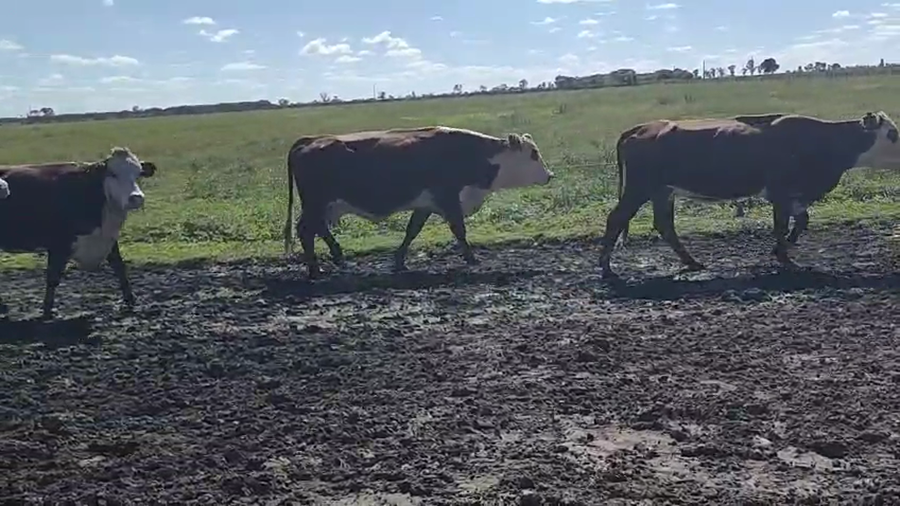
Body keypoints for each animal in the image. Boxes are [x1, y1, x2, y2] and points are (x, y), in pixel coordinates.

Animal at [0, 147, 157, 319]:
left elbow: (119, 268)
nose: (137, 198)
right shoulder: (59, 243)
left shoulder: (107, 238)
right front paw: (47, 311)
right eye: (113, 174)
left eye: (138, 174)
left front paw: (131, 301)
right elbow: (53, 278)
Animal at [282, 126, 554, 278]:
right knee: (306, 230)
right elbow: (459, 230)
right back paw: (316, 269)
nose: (550, 175)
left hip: (323, 205)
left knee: (317, 228)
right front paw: (472, 258)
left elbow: (412, 231)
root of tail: (310, 140)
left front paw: (399, 261)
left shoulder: (425, 206)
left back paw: (336, 258)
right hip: (317, 203)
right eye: (533, 153)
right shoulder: (448, 199)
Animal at [598, 111, 900, 279]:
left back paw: (692, 262)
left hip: (663, 191)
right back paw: (606, 268)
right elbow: (781, 224)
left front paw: (781, 250)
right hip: (639, 188)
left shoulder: (793, 195)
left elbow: (801, 221)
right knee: (616, 219)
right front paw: (785, 257)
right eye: (893, 134)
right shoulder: (780, 193)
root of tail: (641, 128)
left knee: (664, 225)